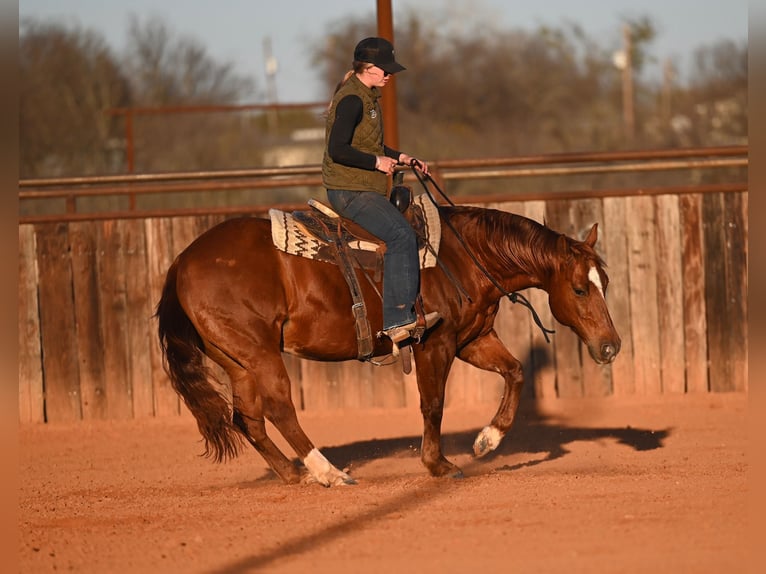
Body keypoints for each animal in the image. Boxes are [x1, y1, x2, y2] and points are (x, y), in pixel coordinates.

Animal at [156, 202, 621, 486]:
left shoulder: (471, 339)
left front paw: (488, 440)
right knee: (279, 410)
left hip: (236, 360)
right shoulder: (435, 343)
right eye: (580, 289)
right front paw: (439, 464)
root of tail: (182, 260)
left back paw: (293, 474)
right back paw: (328, 472)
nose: (611, 347)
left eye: (605, 282)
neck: (461, 257)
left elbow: (516, 372)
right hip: (260, 353)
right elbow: (433, 404)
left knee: (248, 418)